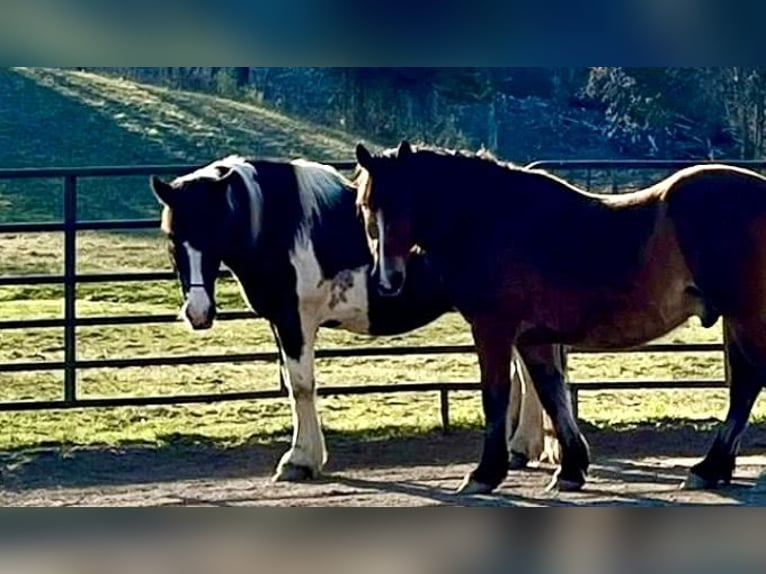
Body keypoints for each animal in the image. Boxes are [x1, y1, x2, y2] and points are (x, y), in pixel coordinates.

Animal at [149, 155, 562, 483]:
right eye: (173, 239)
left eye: (213, 230)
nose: (198, 313)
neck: (276, 227)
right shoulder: (282, 324)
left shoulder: (295, 322)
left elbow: (302, 386)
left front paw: (300, 461)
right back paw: (522, 449)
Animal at [355, 140, 766, 495]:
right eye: (367, 207)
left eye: (402, 203)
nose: (387, 280)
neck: (492, 220)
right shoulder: (533, 338)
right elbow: (552, 394)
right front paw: (570, 469)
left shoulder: (493, 329)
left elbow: (496, 396)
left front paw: (485, 474)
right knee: (745, 386)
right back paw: (712, 468)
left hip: (746, 318)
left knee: (748, 383)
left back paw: (709, 468)